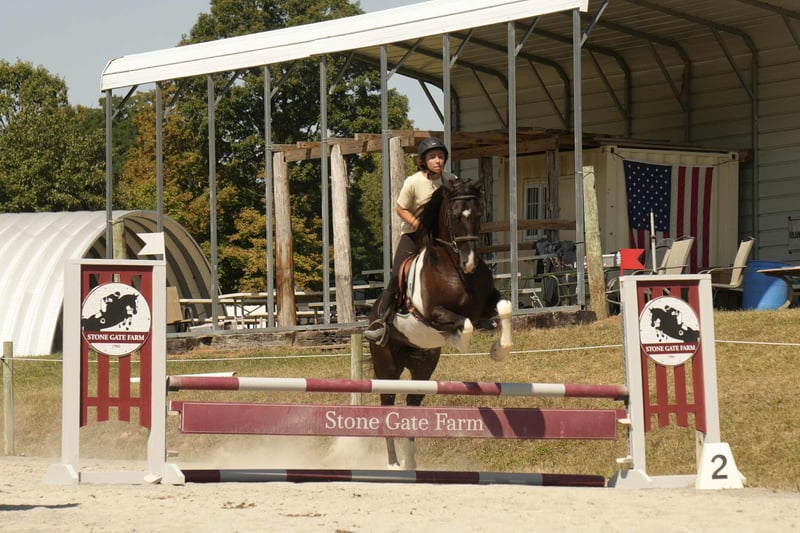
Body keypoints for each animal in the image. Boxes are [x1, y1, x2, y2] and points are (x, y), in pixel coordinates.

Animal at [367, 176, 513, 469]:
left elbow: (504, 308)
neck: (456, 268)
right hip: (387, 366)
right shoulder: (434, 313)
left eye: (479, 213)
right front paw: (459, 340)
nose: (469, 263)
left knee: (412, 402)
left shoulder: (486, 304)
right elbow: (465, 325)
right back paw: (393, 464)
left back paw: (410, 463)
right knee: (387, 403)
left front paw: (498, 350)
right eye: (455, 216)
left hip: (423, 367)